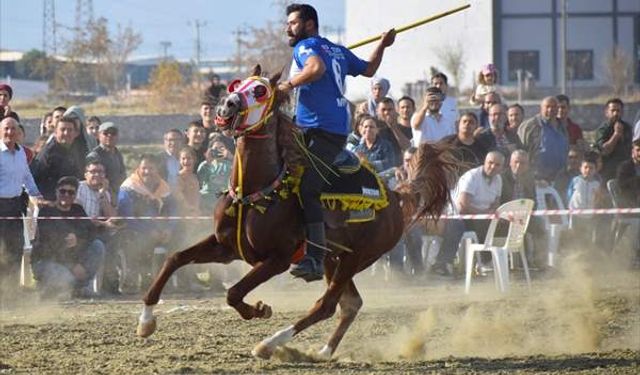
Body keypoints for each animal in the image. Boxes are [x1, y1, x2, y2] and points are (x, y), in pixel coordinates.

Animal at [135, 66, 458, 360]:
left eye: (260, 90)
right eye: (237, 85)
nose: (226, 104)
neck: (257, 192)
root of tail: (395, 196)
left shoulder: (277, 259)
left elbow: (234, 292)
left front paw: (259, 310)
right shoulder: (225, 247)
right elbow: (175, 259)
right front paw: (146, 322)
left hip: (356, 258)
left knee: (327, 305)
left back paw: (270, 344)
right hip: (332, 258)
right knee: (350, 304)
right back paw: (323, 352)